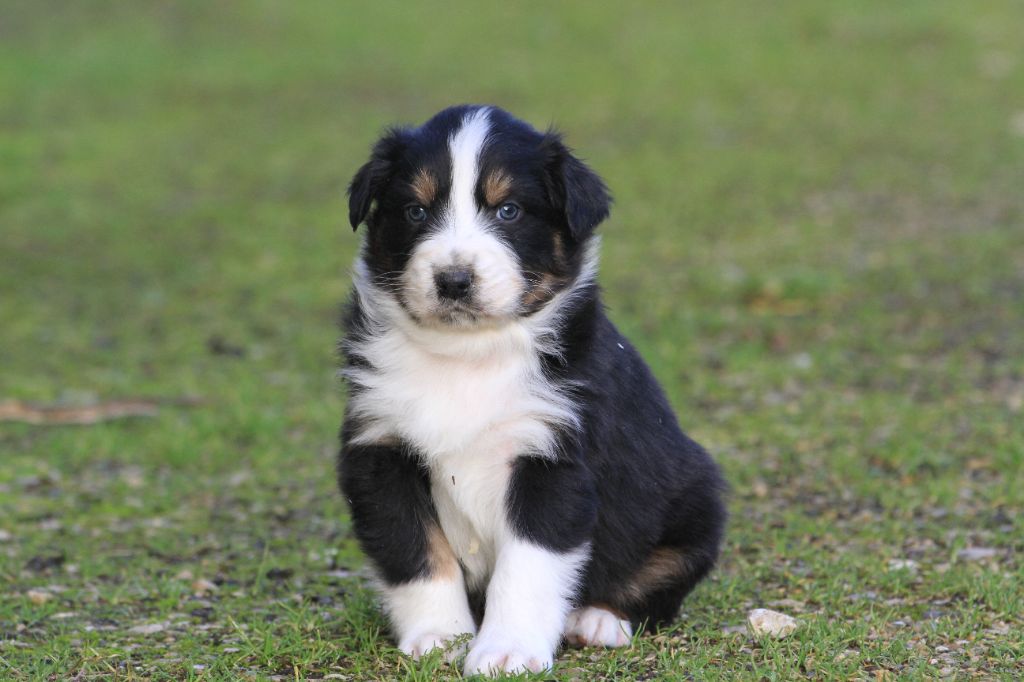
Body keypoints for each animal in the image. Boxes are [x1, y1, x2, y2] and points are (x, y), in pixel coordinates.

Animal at [339, 106, 724, 675]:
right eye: (414, 210)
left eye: (509, 211)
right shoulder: (381, 451)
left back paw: (598, 619)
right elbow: (417, 555)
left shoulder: (551, 459)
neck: (466, 356)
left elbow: (526, 571)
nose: (454, 280)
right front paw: (440, 636)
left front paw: (507, 652)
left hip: (694, 501)